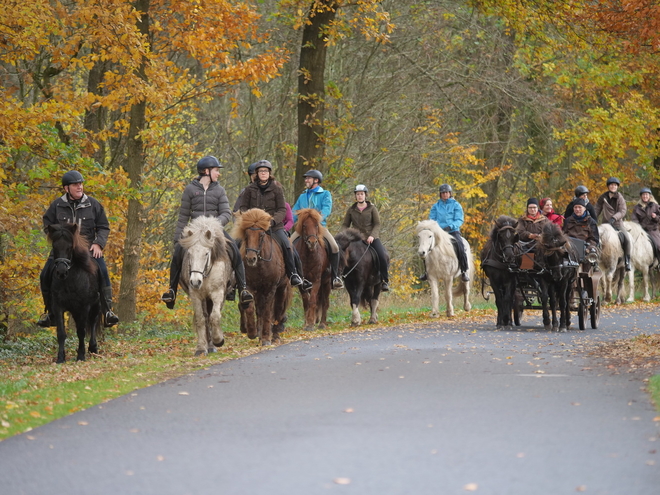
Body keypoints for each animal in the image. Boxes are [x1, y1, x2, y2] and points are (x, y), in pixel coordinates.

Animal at [44, 225, 100, 364]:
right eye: (54, 246)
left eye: (70, 247)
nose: (61, 272)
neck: (70, 280)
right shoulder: (58, 307)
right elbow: (61, 333)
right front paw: (60, 358)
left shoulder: (84, 307)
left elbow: (81, 331)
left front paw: (81, 356)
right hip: (75, 311)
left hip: (95, 305)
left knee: (93, 322)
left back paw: (93, 347)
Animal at [179, 217, 233, 356]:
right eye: (189, 253)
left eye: (206, 254)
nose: (195, 282)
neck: (206, 274)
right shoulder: (196, 296)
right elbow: (201, 319)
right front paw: (201, 348)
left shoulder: (218, 293)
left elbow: (215, 316)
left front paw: (218, 340)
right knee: (206, 316)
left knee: (212, 315)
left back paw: (213, 344)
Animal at [233, 208, 292, 344]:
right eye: (246, 235)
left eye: (261, 235)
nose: (251, 258)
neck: (260, 265)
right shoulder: (249, 286)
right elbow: (250, 308)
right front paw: (252, 332)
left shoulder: (270, 288)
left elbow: (267, 311)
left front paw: (265, 338)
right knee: (257, 308)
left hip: (282, 287)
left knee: (277, 309)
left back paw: (275, 335)